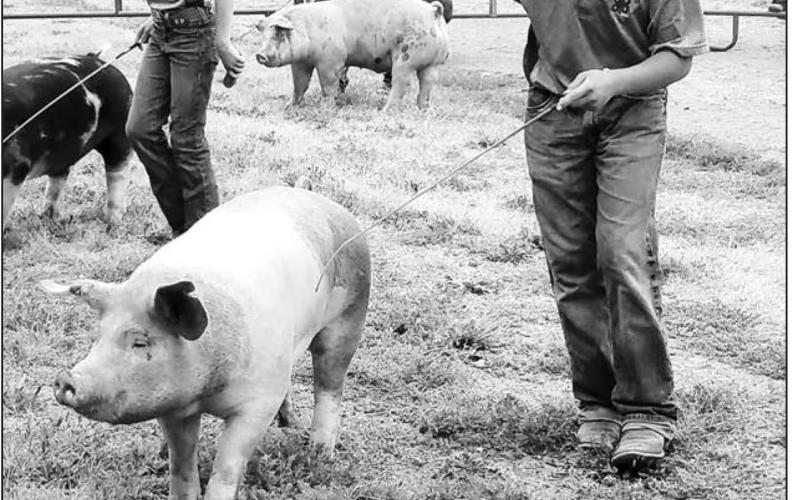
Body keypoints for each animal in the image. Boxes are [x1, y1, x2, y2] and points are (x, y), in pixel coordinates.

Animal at [2, 52, 133, 229]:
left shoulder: (17, 165)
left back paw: (112, 223)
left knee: (117, 176)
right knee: (58, 179)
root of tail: (99, 59)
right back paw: (48, 218)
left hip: (120, 134)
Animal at [41, 186, 371, 499]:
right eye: (99, 336)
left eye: (140, 342)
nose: (65, 378)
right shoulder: (174, 406)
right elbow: (181, 466)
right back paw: (288, 424)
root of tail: (329, 205)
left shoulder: (259, 401)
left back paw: (319, 455)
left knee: (329, 385)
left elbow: (227, 466)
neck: (208, 389)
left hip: (350, 315)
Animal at [255, 0, 450, 109]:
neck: (308, 29)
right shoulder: (301, 62)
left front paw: (325, 108)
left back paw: (384, 111)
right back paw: (423, 109)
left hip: (405, 59)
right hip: (434, 63)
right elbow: (299, 85)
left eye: (279, 33)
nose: (259, 55)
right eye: (263, 34)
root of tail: (433, 12)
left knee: (402, 84)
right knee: (427, 84)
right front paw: (289, 107)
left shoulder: (331, 61)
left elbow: (327, 86)